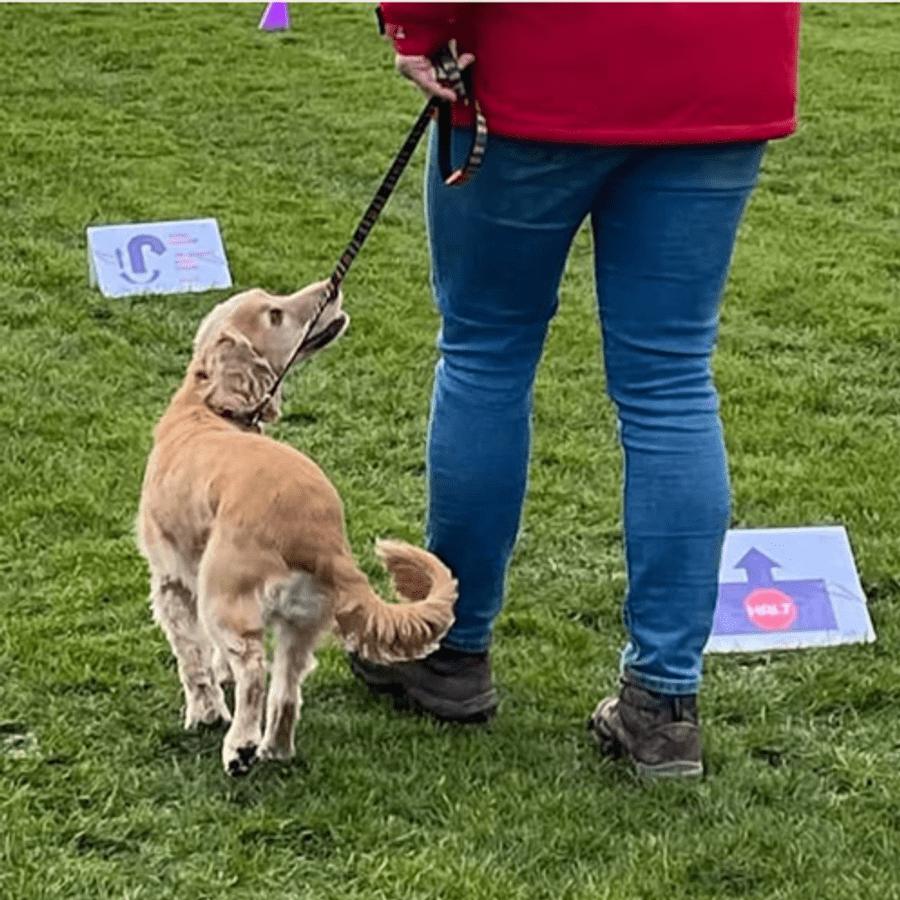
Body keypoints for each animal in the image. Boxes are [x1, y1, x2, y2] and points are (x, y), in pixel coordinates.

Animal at [136, 280, 456, 774]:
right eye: (274, 313)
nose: (331, 288)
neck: (205, 407)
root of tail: (318, 536)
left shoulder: (170, 581)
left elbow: (192, 659)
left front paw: (204, 712)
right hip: (302, 622)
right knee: (286, 690)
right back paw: (274, 749)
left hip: (223, 598)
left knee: (254, 672)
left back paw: (240, 747)